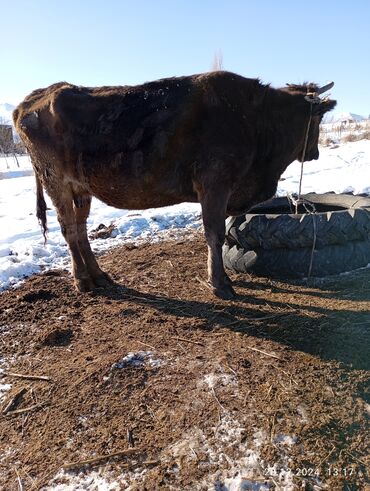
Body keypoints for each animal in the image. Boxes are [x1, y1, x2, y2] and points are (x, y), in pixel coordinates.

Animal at [13, 71, 336, 298]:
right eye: (318, 119)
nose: (315, 153)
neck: (256, 120)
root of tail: (35, 97)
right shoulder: (215, 185)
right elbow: (214, 234)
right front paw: (220, 284)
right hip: (56, 182)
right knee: (69, 228)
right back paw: (82, 280)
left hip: (82, 188)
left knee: (80, 230)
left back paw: (99, 276)